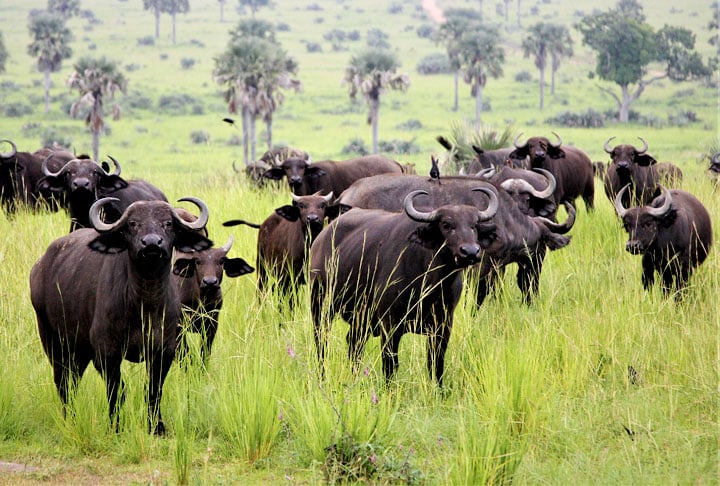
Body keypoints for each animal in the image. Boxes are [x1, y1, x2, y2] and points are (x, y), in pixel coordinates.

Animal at [30, 197, 212, 434]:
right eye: (133, 224)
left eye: (168, 223)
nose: (151, 243)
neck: (145, 304)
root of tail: (40, 266)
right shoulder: (106, 354)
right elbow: (117, 390)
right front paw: (116, 426)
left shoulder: (164, 351)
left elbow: (153, 390)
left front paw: (157, 427)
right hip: (53, 342)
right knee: (63, 382)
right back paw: (69, 419)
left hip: (80, 349)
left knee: (73, 380)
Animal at [173, 235, 255, 364]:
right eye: (198, 261)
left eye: (221, 261)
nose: (210, 282)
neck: (200, 300)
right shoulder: (178, 328)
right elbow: (185, 355)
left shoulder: (211, 325)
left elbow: (204, 353)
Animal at [310, 189, 499, 386]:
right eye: (446, 224)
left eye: (474, 225)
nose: (470, 252)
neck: (432, 284)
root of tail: (320, 240)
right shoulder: (390, 325)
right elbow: (390, 365)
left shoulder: (443, 325)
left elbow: (436, 364)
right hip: (320, 305)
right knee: (322, 342)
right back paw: (322, 376)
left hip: (360, 318)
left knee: (354, 345)